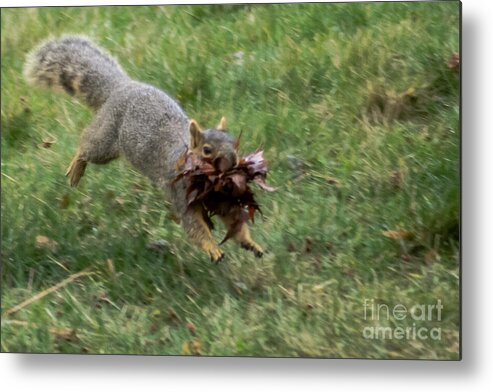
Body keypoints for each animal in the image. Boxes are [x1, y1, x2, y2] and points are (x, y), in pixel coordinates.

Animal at [23, 36, 264, 264]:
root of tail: (122, 87)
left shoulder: (224, 200)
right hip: (105, 141)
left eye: (235, 143)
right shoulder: (181, 195)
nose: (232, 162)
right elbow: (194, 227)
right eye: (206, 150)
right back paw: (76, 167)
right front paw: (212, 248)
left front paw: (251, 243)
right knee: (86, 146)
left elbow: (234, 221)